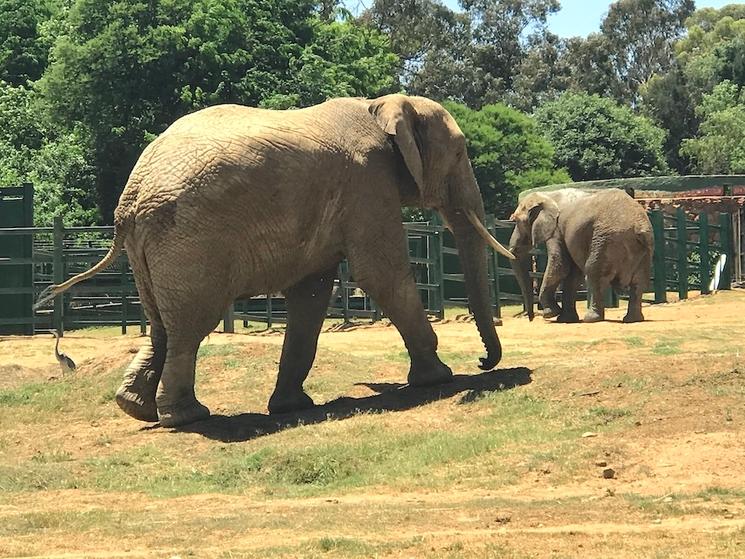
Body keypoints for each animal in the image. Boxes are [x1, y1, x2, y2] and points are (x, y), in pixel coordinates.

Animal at [37, 94, 515, 428]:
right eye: (461, 153)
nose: (483, 362)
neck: (382, 105)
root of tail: (129, 202)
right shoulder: (367, 184)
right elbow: (381, 273)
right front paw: (439, 378)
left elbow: (311, 293)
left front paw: (290, 407)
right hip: (187, 241)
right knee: (190, 325)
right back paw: (188, 418)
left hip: (153, 250)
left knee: (161, 325)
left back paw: (136, 410)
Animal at [508, 188, 653, 324]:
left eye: (517, 222)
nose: (530, 318)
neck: (547, 195)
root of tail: (638, 226)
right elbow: (573, 274)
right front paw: (566, 319)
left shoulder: (556, 229)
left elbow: (560, 266)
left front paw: (551, 313)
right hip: (644, 249)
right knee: (638, 281)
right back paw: (633, 319)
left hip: (606, 240)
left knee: (594, 273)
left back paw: (591, 318)